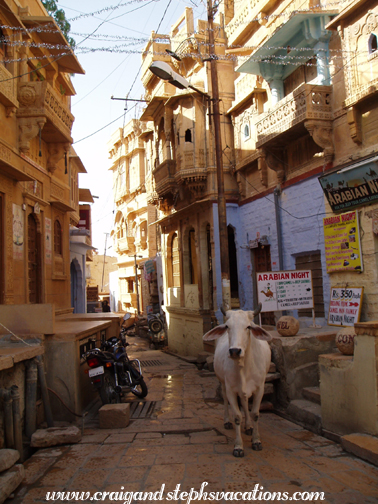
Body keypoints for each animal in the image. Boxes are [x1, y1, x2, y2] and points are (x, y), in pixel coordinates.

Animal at [204, 308, 272, 456]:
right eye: (228, 327)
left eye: (248, 327)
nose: (235, 351)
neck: (244, 367)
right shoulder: (231, 389)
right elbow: (237, 416)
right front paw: (238, 446)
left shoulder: (260, 389)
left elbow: (255, 413)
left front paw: (256, 440)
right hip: (222, 383)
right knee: (225, 399)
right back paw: (227, 421)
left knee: (245, 402)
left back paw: (248, 426)